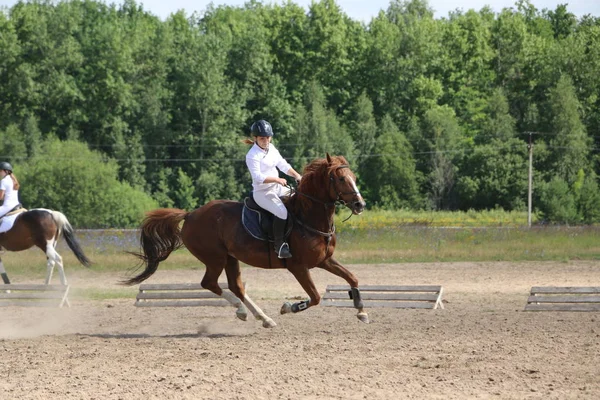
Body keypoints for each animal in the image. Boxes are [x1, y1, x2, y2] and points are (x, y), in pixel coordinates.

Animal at [126, 155, 368, 326]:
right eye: (340, 178)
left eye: (355, 178)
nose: (360, 205)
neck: (309, 217)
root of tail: (190, 214)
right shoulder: (299, 267)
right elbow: (316, 297)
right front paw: (288, 307)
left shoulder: (324, 260)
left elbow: (352, 278)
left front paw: (361, 310)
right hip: (215, 258)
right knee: (210, 283)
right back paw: (243, 311)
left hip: (230, 258)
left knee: (236, 286)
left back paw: (263, 319)